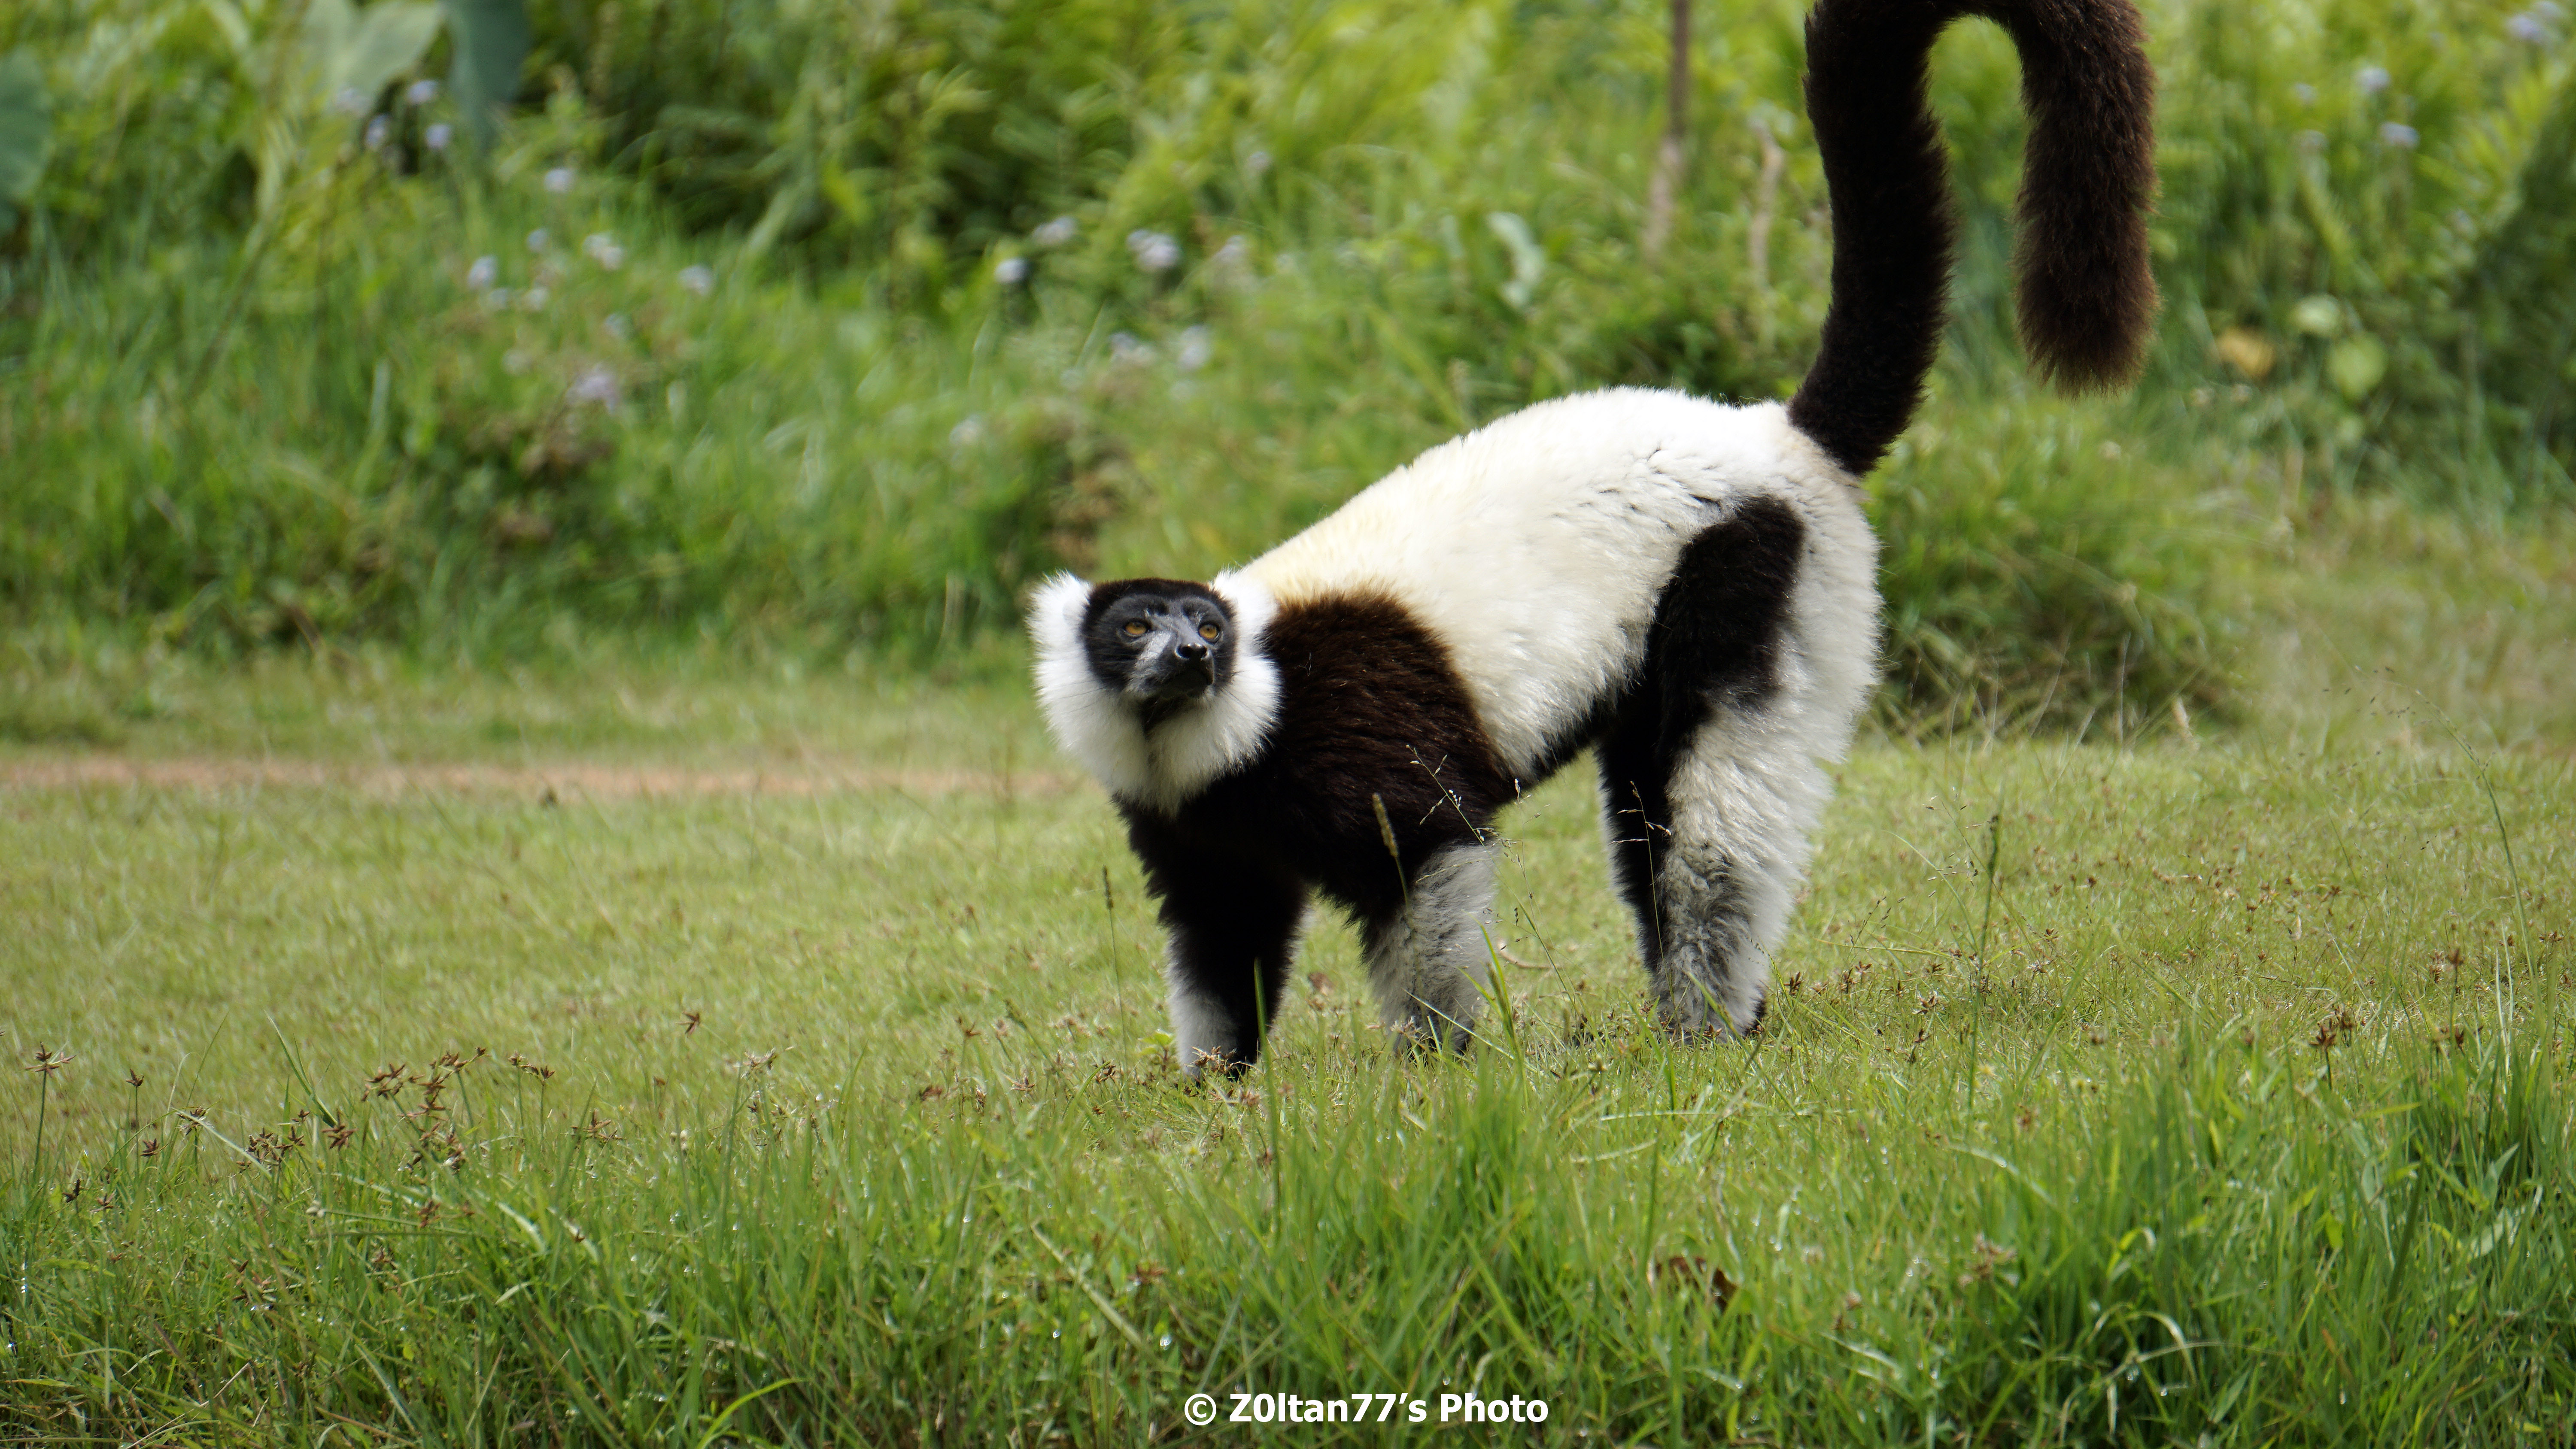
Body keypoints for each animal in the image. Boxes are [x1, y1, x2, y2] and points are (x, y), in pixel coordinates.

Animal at [1030, 0, 2158, 1078]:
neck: (1235, 722)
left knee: (1703, 823)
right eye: (1134, 629)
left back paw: (1704, 1023)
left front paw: (1433, 1067)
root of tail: (1778, 438)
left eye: (1205, 631)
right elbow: (1223, 933)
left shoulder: (1352, 737)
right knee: (1656, 803)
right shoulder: (1198, 818)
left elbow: (1430, 849)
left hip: (1749, 574)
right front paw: (1217, 1081)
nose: (1190, 655)